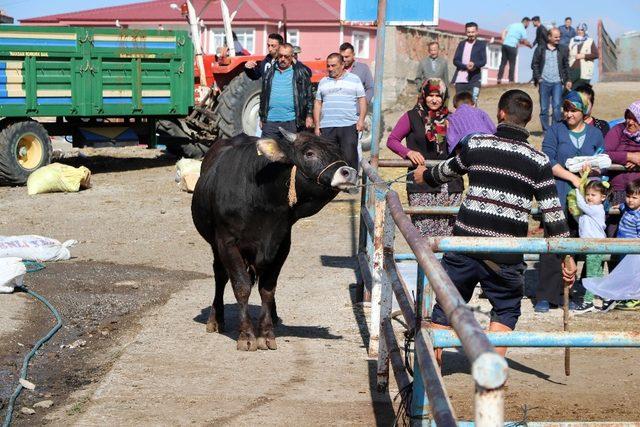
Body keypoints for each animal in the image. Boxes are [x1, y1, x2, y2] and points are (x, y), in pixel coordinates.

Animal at [190, 130, 360, 352]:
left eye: (339, 152)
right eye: (309, 153)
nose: (349, 172)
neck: (262, 199)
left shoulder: (281, 245)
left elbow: (267, 289)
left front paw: (266, 333)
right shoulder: (226, 243)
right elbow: (241, 286)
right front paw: (246, 335)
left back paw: (274, 315)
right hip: (215, 245)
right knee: (220, 275)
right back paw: (216, 318)